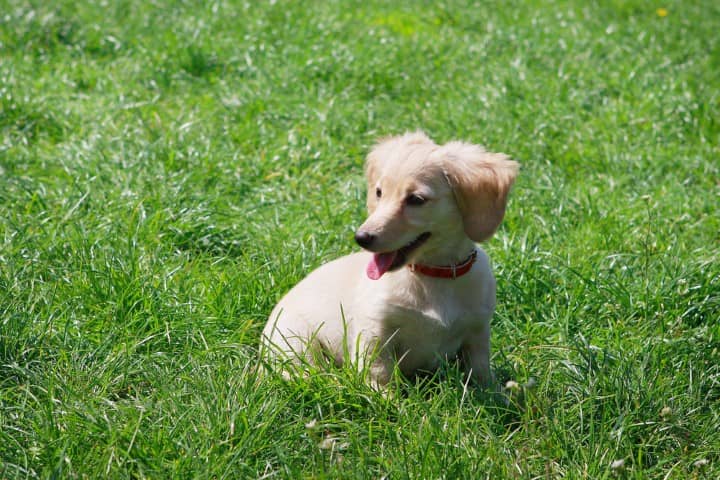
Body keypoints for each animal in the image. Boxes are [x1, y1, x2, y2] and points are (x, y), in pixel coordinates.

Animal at [262, 132, 520, 390]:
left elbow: (480, 371)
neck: (433, 275)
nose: (361, 237)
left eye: (416, 199)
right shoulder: (375, 331)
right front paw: (386, 397)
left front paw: (497, 392)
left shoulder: (477, 330)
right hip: (296, 344)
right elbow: (380, 373)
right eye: (379, 192)